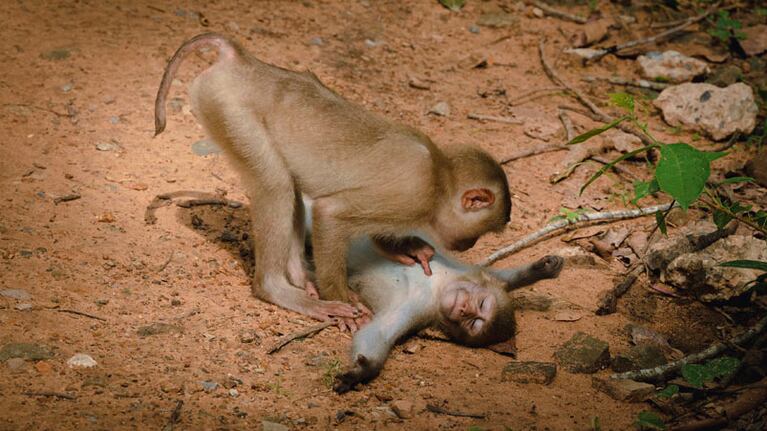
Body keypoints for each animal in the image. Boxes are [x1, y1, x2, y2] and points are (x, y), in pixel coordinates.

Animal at [154, 33, 512, 323]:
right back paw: (279, 289)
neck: (439, 176)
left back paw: (299, 274)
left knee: (289, 186)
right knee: (276, 185)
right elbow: (331, 213)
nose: (469, 245)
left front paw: (404, 247)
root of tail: (240, 60)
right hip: (228, 108)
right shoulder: (414, 194)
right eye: (479, 233)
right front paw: (341, 298)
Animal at [298, 198, 563, 393]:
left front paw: (362, 371)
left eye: (474, 323)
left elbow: (379, 331)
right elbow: (496, 275)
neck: (439, 287)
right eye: (480, 303)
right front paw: (541, 269)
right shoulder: (463, 272)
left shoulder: (419, 308)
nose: (465, 309)